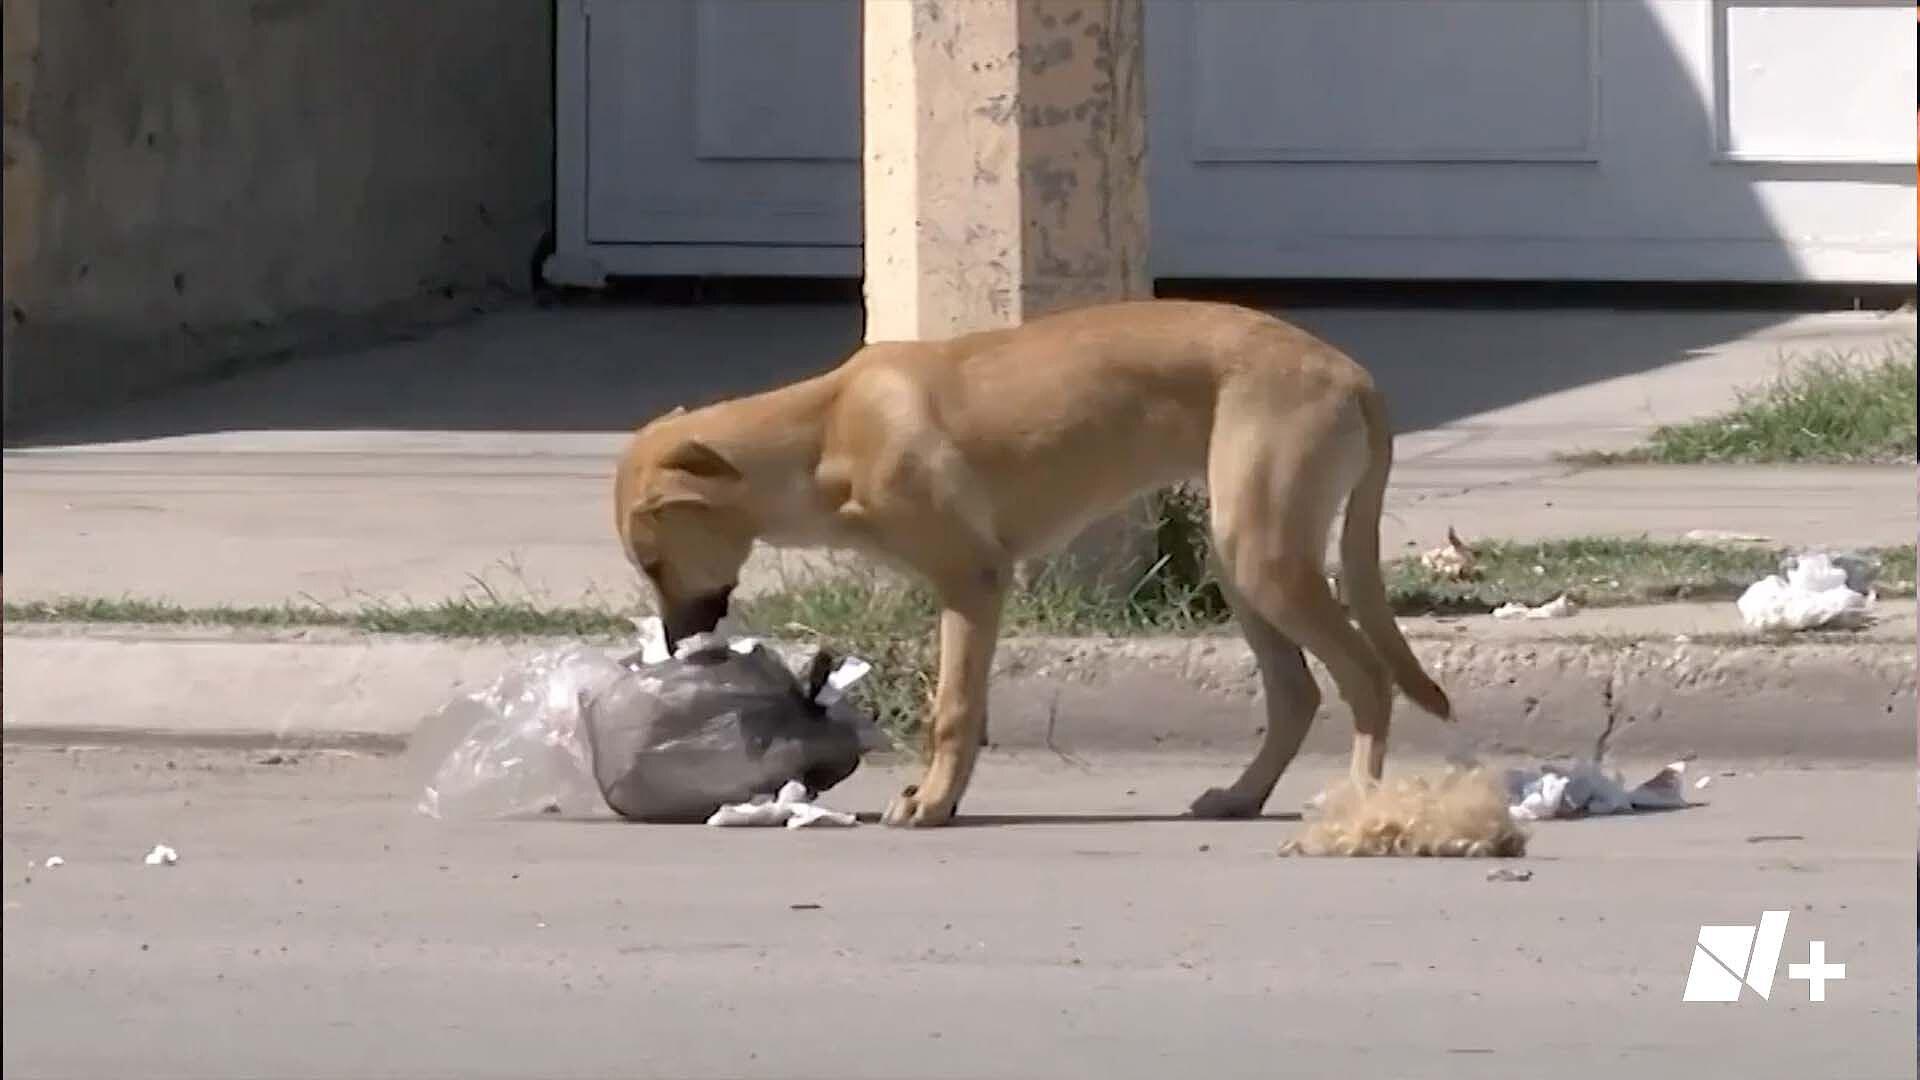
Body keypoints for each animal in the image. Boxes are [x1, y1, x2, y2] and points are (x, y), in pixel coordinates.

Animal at [622, 297, 1443, 818]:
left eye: (655, 566)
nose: (676, 646)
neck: (822, 435)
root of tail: (1352, 374)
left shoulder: (973, 581)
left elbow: (953, 709)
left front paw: (934, 803)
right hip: (1245, 563)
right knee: (1297, 694)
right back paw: (1242, 796)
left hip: (1266, 556)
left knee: (1367, 677)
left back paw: (1360, 800)